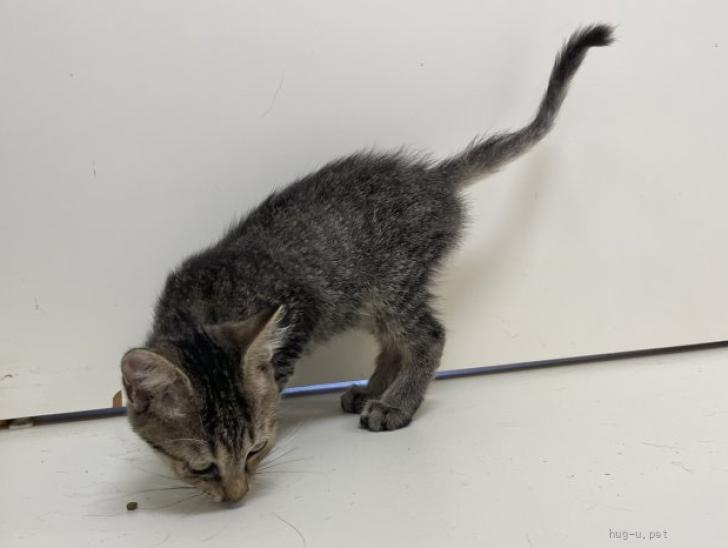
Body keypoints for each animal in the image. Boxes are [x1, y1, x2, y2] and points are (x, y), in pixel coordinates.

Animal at [121, 24, 613, 502]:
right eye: (200, 466)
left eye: (253, 450)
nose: (235, 494)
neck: (205, 309)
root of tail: (433, 178)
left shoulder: (300, 312)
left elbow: (273, 383)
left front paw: (272, 413)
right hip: (368, 298)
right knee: (395, 343)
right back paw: (372, 391)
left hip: (394, 285)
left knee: (428, 337)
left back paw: (395, 403)